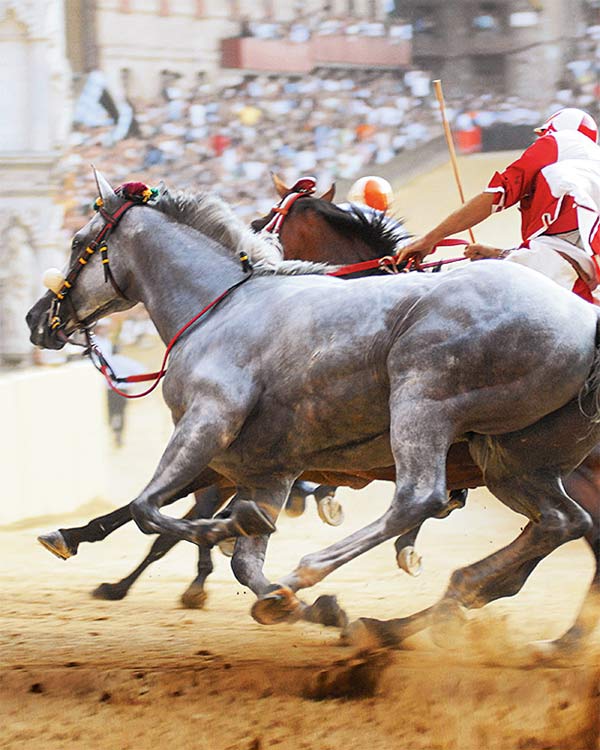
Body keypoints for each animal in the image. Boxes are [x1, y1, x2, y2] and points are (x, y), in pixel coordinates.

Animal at [29, 173, 600, 656]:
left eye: (79, 243)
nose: (38, 320)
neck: (219, 308)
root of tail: (586, 325)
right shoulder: (267, 465)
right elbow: (241, 563)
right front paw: (305, 605)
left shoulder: (209, 422)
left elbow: (149, 509)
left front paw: (234, 542)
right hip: (513, 460)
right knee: (560, 524)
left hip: (424, 400)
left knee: (420, 499)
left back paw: (320, 575)